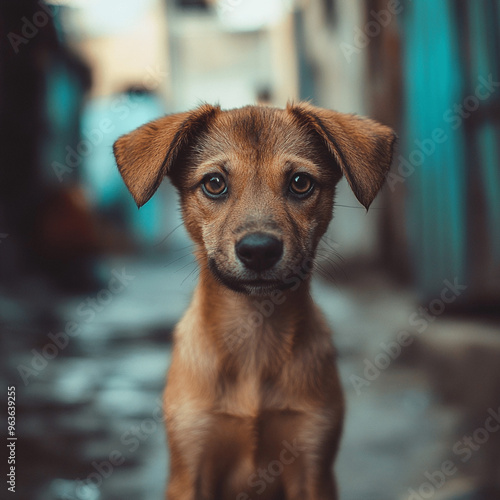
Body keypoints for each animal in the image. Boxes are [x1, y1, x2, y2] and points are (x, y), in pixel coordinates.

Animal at [112, 102, 394, 500]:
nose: (259, 250)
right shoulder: (191, 465)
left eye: (300, 182)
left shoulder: (313, 463)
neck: (255, 337)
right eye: (214, 183)